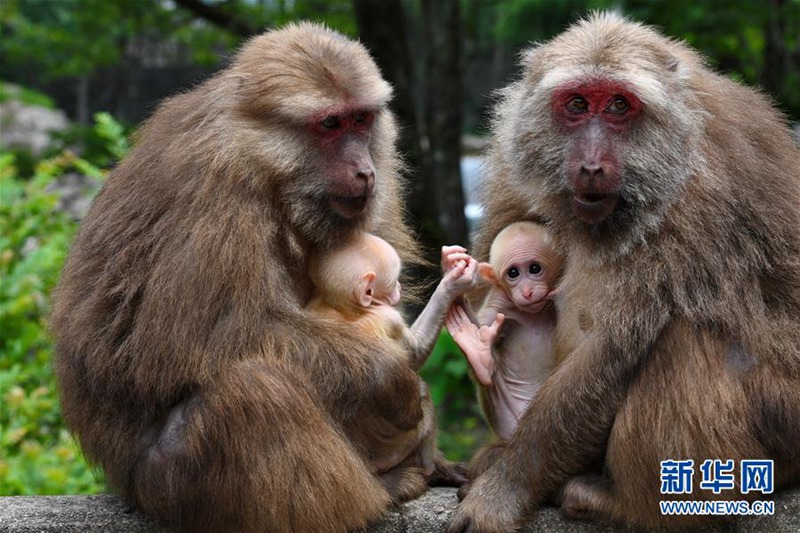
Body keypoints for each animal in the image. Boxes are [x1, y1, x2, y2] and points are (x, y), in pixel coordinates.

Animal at [51, 23, 441, 533]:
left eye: (360, 120)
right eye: (330, 125)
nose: (364, 170)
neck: (263, 163)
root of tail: (122, 482)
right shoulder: (215, 195)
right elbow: (191, 338)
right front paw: (391, 379)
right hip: (163, 484)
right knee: (252, 391)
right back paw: (379, 494)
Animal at [306, 231, 477, 479]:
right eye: (393, 279)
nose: (398, 285)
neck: (347, 308)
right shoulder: (389, 317)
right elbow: (414, 356)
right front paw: (450, 284)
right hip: (400, 446)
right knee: (424, 396)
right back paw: (432, 469)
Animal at [445, 221, 564, 442]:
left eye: (534, 268)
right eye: (513, 273)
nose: (527, 291)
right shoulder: (501, 300)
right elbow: (483, 322)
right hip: (508, 420)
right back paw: (481, 360)